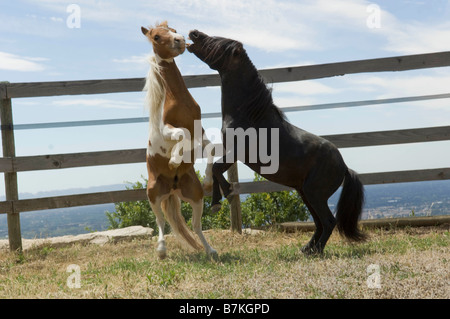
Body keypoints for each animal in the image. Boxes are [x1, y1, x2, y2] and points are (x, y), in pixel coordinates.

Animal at [142, 22, 217, 258]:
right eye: (156, 37)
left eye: (173, 29)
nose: (180, 40)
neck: (177, 100)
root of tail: (172, 189)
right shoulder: (166, 130)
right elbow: (182, 135)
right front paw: (174, 160)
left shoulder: (200, 131)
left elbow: (210, 148)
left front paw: (209, 181)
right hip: (154, 194)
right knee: (160, 222)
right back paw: (161, 251)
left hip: (195, 196)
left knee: (195, 226)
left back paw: (211, 250)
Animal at [186, 30, 366, 255]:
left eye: (219, 44)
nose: (194, 34)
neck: (249, 115)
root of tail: (344, 167)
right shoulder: (232, 152)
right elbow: (214, 169)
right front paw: (217, 200)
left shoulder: (237, 152)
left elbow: (217, 168)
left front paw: (223, 196)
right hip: (306, 193)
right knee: (319, 223)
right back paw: (306, 249)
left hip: (314, 194)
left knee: (328, 221)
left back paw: (316, 251)